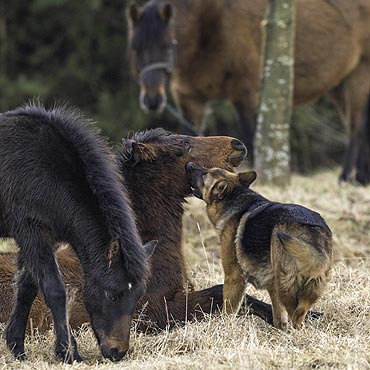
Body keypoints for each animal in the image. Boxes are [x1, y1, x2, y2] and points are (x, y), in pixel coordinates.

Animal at [0, 105, 155, 362]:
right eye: (112, 294)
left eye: (137, 295)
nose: (117, 352)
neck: (48, 173)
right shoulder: (32, 233)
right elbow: (54, 290)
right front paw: (68, 352)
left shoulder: (43, 240)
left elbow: (27, 288)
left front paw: (17, 347)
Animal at [127, 0, 370, 185]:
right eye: (135, 48)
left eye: (168, 45)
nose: (152, 100)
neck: (210, 23)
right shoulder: (191, 99)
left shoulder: (245, 94)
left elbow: (251, 136)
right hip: (340, 85)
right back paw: (360, 179)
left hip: (358, 76)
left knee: (355, 129)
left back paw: (345, 178)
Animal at [186, 163, 334, 330]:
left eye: (205, 174)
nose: (189, 164)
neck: (234, 200)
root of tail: (312, 227)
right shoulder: (272, 288)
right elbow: (278, 317)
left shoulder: (234, 277)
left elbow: (228, 311)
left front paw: (224, 327)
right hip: (308, 288)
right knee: (299, 315)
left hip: (284, 284)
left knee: (295, 316)